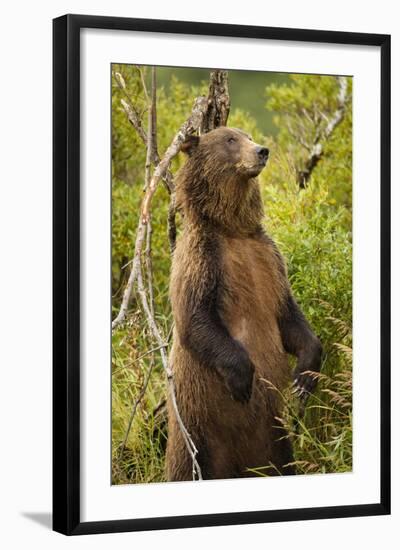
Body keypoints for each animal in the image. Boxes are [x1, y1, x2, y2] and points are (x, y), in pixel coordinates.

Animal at [165, 127, 322, 480]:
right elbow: (195, 318)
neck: (232, 228)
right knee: (188, 465)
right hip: (197, 432)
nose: (262, 150)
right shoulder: (202, 259)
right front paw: (242, 379)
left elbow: (289, 317)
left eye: (247, 136)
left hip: (273, 437)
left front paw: (304, 377)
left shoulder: (269, 260)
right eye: (230, 140)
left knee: (283, 460)